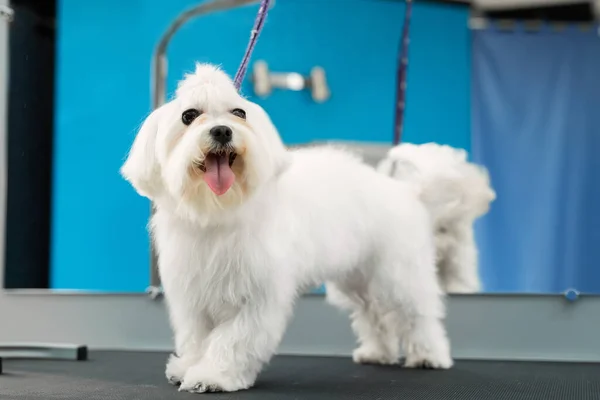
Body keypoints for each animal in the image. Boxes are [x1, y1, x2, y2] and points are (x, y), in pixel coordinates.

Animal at [120, 64, 450, 392]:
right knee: (373, 314)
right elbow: (196, 338)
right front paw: (187, 366)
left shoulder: (258, 296)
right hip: (359, 279)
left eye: (238, 113)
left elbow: (233, 339)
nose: (222, 130)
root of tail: (405, 191)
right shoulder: (193, 295)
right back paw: (377, 353)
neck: (219, 212)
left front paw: (212, 375)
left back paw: (429, 355)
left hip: (397, 274)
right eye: (189, 116)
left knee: (418, 315)